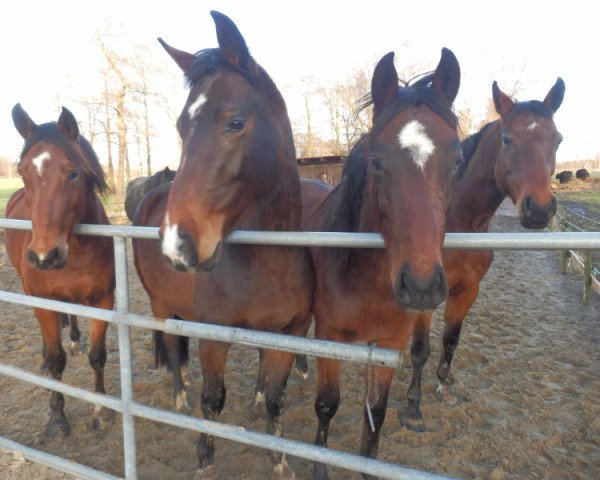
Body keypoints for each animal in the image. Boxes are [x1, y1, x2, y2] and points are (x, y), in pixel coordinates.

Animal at [5, 103, 116, 436]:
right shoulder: (44, 301)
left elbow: (98, 356)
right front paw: (57, 417)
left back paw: (77, 338)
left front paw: (102, 411)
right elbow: (57, 360)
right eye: (22, 173)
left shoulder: (103, 300)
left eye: (74, 173)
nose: (45, 256)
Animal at [156, 11, 314, 480]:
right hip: (162, 309)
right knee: (172, 351)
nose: (177, 244)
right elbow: (213, 400)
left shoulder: (287, 335)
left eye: (235, 122)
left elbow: (277, 399)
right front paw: (205, 459)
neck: (264, 266)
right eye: (181, 127)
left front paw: (279, 460)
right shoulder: (212, 335)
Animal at [302, 47, 462, 476]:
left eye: (457, 161)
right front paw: (319, 466)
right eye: (376, 161)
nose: (422, 286)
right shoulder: (331, 339)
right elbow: (326, 406)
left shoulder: (390, 345)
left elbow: (376, 412)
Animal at [404, 78, 568, 432]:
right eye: (507, 140)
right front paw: (412, 406)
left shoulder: (467, 291)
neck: (457, 225)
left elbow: (451, 339)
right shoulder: (424, 297)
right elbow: (420, 348)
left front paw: (442, 382)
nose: (539, 209)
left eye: (557, 139)